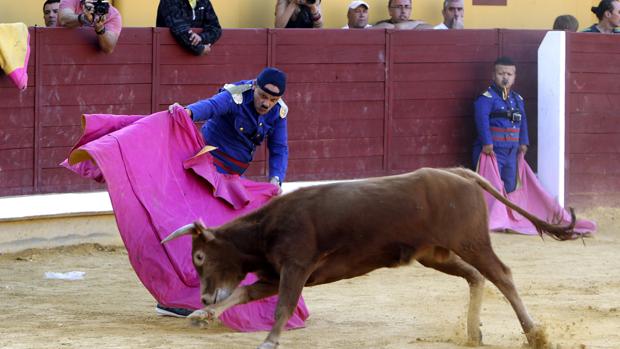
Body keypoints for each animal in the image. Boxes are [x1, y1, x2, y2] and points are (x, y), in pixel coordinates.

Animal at [161, 167, 576, 346]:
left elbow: (282, 306)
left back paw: (534, 333)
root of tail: (461, 174)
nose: (201, 297)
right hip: (435, 255)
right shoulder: (274, 274)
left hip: (471, 241)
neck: (266, 227)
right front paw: (202, 316)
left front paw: (269, 341)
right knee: (477, 277)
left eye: (199, 257)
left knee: (502, 275)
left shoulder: (295, 267)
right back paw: (474, 333)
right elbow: (243, 293)